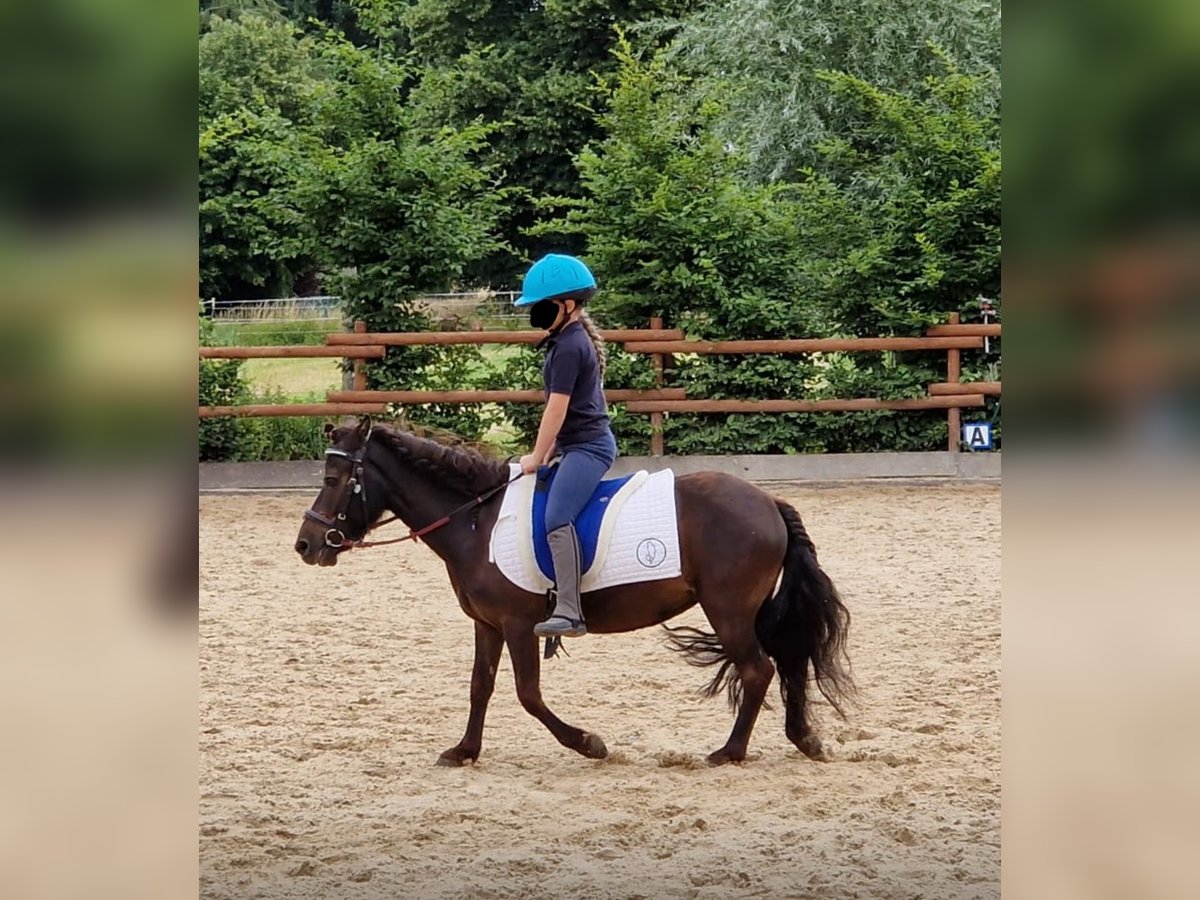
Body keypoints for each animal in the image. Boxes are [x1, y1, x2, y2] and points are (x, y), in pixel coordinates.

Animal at [294, 420, 849, 763]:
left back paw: (730, 752)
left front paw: (587, 743)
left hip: (729, 611)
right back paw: (804, 739)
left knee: (758, 670)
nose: (306, 544)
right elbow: (480, 686)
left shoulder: (519, 624)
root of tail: (769, 502)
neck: (476, 521)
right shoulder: (487, 624)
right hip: (749, 612)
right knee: (787, 663)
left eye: (335, 478)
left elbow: (528, 694)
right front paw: (465, 751)